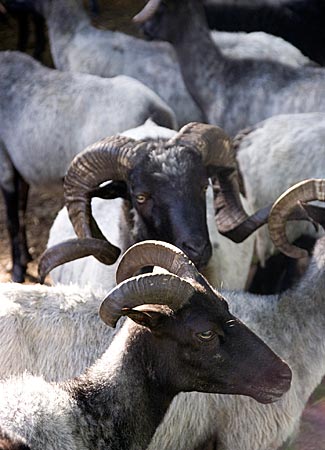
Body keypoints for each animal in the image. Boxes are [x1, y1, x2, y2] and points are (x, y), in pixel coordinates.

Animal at [0, 51, 177, 284]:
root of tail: (154, 108)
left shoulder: (4, 161)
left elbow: (12, 219)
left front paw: (17, 271)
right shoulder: (18, 166)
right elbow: (20, 211)